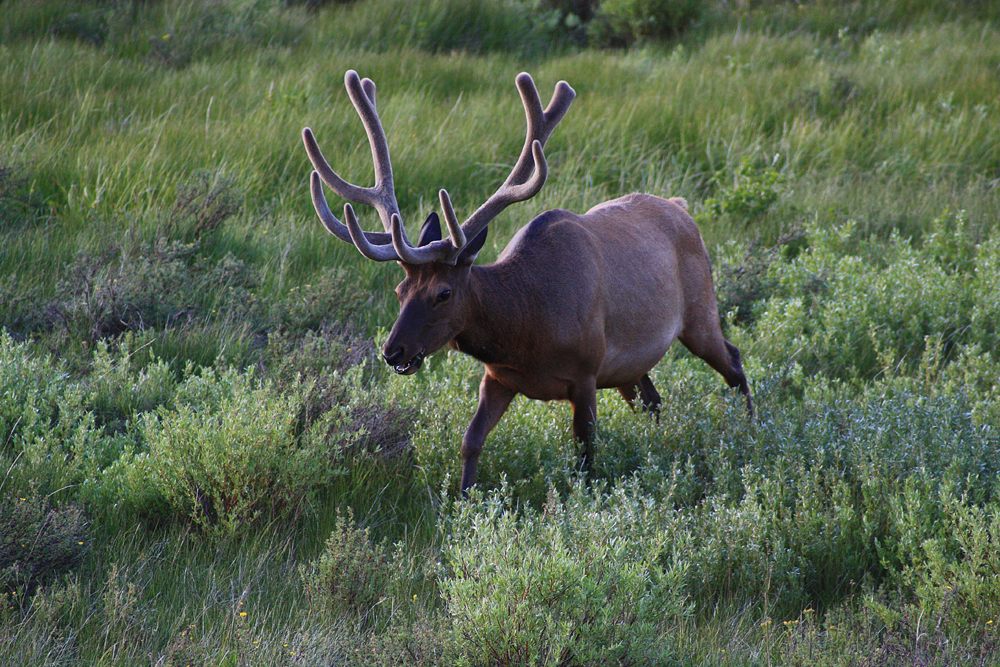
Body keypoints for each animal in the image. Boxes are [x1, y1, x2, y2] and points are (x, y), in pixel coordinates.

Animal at [300, 70, 752, 494]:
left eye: (443, 293)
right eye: (399, 292)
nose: (393, 351)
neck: (527, 332)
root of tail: (682, 207)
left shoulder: (586, 372)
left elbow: (585, 452)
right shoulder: (498, 378)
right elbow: (471, 441)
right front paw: (464, 503)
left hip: (699, 310)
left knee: (733, 362)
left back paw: (751, 430)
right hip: (629, 368)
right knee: (655, 402)